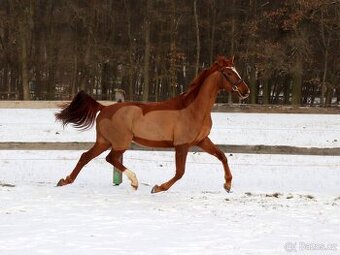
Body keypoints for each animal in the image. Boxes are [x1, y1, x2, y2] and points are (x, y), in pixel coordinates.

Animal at [55, 56, 250, 192]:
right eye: (229, 73)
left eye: (236, 71)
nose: (245, 91)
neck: (194, 109)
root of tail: (104, 108)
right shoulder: (182, 145)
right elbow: (180, 172)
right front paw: (158, 188)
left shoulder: (202, 141)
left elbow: (222, 156)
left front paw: (227, 185)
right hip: (120, 142)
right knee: (110, 158)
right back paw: (134, 182)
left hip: (104, 141)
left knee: (86, 157)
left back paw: (65, 181)